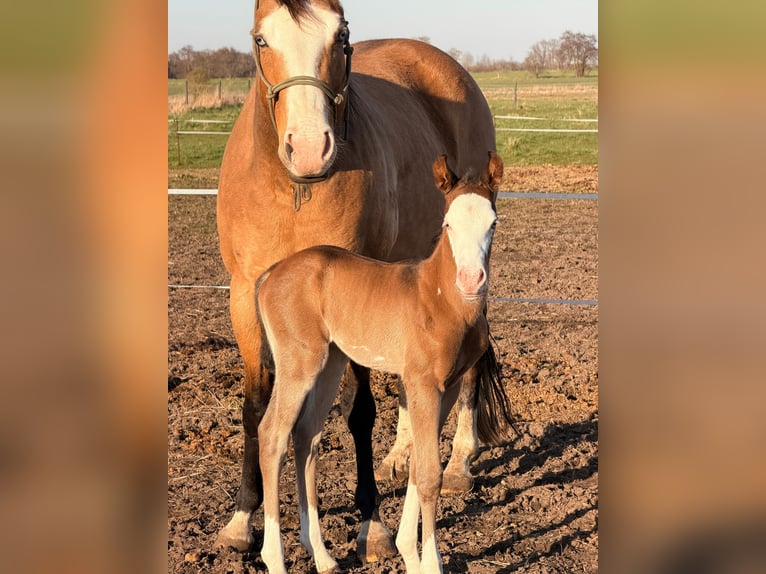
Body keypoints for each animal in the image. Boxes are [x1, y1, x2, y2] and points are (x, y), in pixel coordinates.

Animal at [256, 153, 507, 574]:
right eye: (448, 224)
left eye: (492, 223)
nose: (471, 280)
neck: (440, 298)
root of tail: (270, 273)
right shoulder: (422, 384)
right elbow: (428, 476)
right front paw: (430, 564)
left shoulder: (449, 387)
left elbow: (418, 467)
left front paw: (409, 553)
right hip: (299, 364)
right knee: (272, 435)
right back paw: (275, 559)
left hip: (330, 362)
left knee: (306, 436)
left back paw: (322, 556)